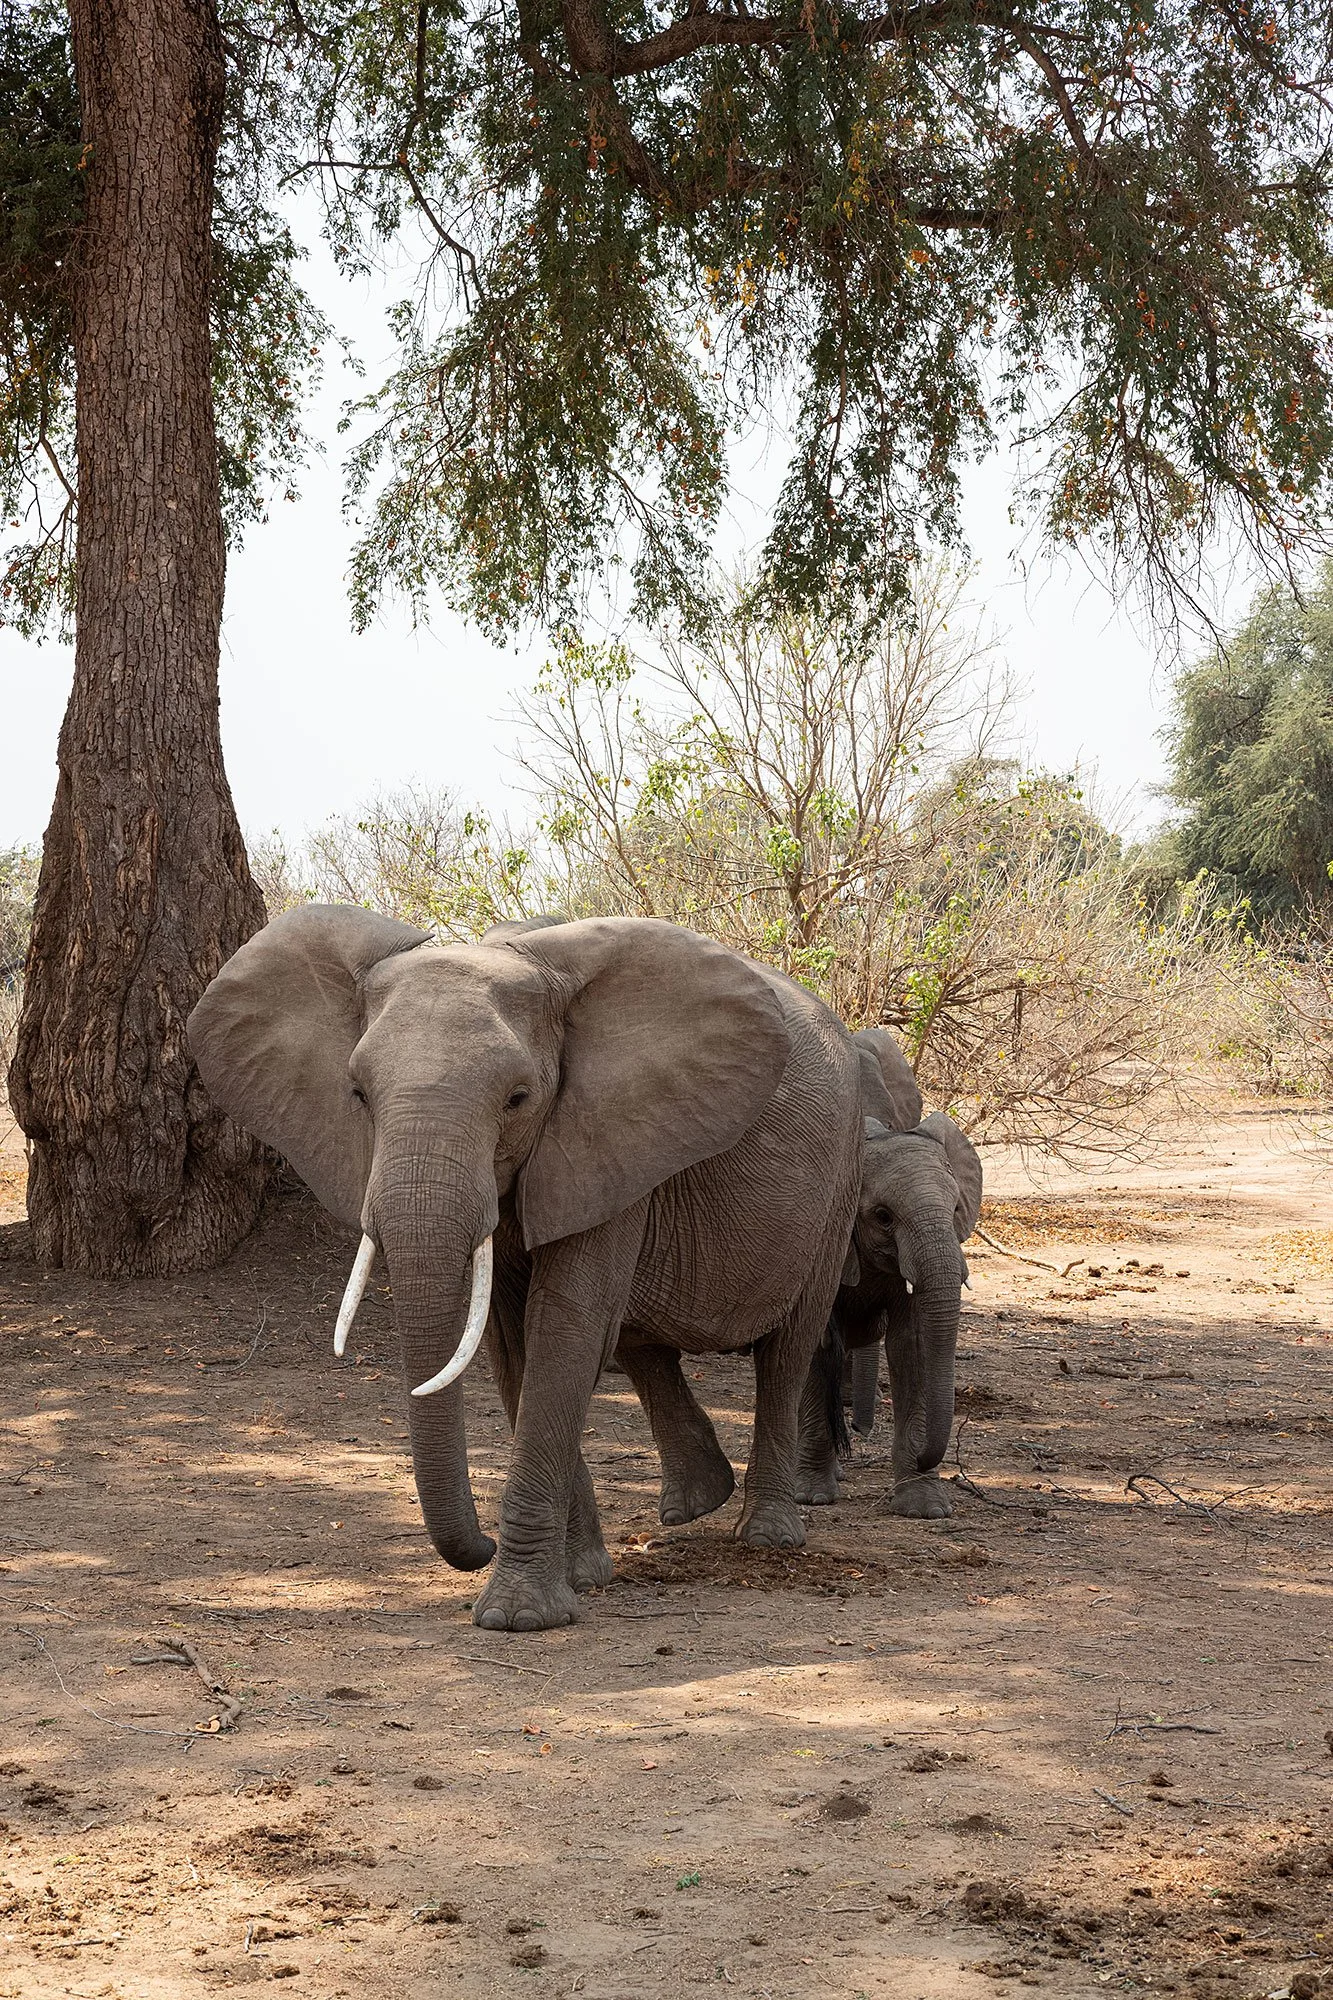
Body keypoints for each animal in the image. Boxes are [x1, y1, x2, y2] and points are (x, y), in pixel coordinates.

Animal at [187, 905, 862, 1631]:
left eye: (517, 1098)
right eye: (358, 1094)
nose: (478, 1545)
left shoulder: (601, 1133)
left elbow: (563, 1327)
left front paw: (519, 1617)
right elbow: (513, 1342)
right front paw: (582, 1578)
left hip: (839, 1184)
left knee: (787, 1349)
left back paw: (765, 1535)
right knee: (643, 1346)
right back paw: (695, 1503)